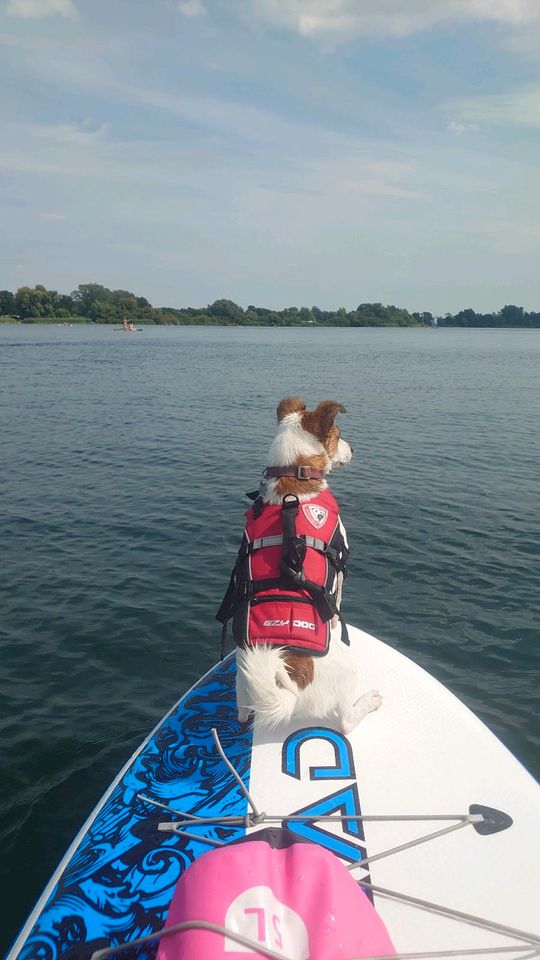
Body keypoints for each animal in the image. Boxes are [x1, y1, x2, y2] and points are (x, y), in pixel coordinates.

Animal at [221, 398, 382, 736]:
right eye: (339, 434)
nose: (354, 449)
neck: (294, 477)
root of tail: (293, 687)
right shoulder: (341, 565)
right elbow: (337, 604)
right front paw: (334, 623)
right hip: (348, 672)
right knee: (346, 721)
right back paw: (368, 702)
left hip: (244, 686)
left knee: (242, 714)